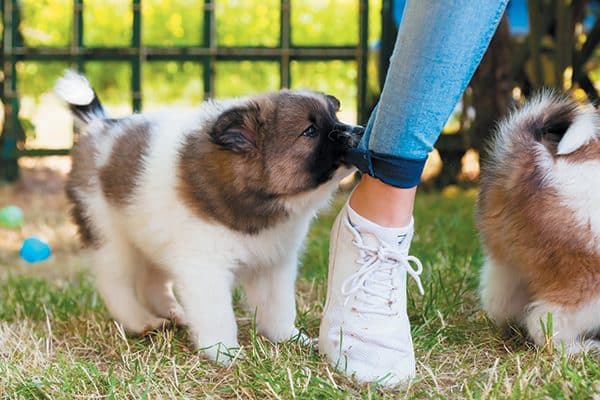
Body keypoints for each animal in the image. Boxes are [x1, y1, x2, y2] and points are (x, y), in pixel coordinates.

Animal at [56, 71, 364, 362]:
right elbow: (217, 315)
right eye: (310, 130)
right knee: (115, 285)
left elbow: (278, 307)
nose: (360, 131)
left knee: (151, 282)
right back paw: (141, 321)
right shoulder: (205, 268)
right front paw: (224, 352)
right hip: (111, 238)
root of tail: (99, 126)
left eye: (334, 116)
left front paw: (288, 338)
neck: (257, 201)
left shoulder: (272, 265)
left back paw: (174, 313)